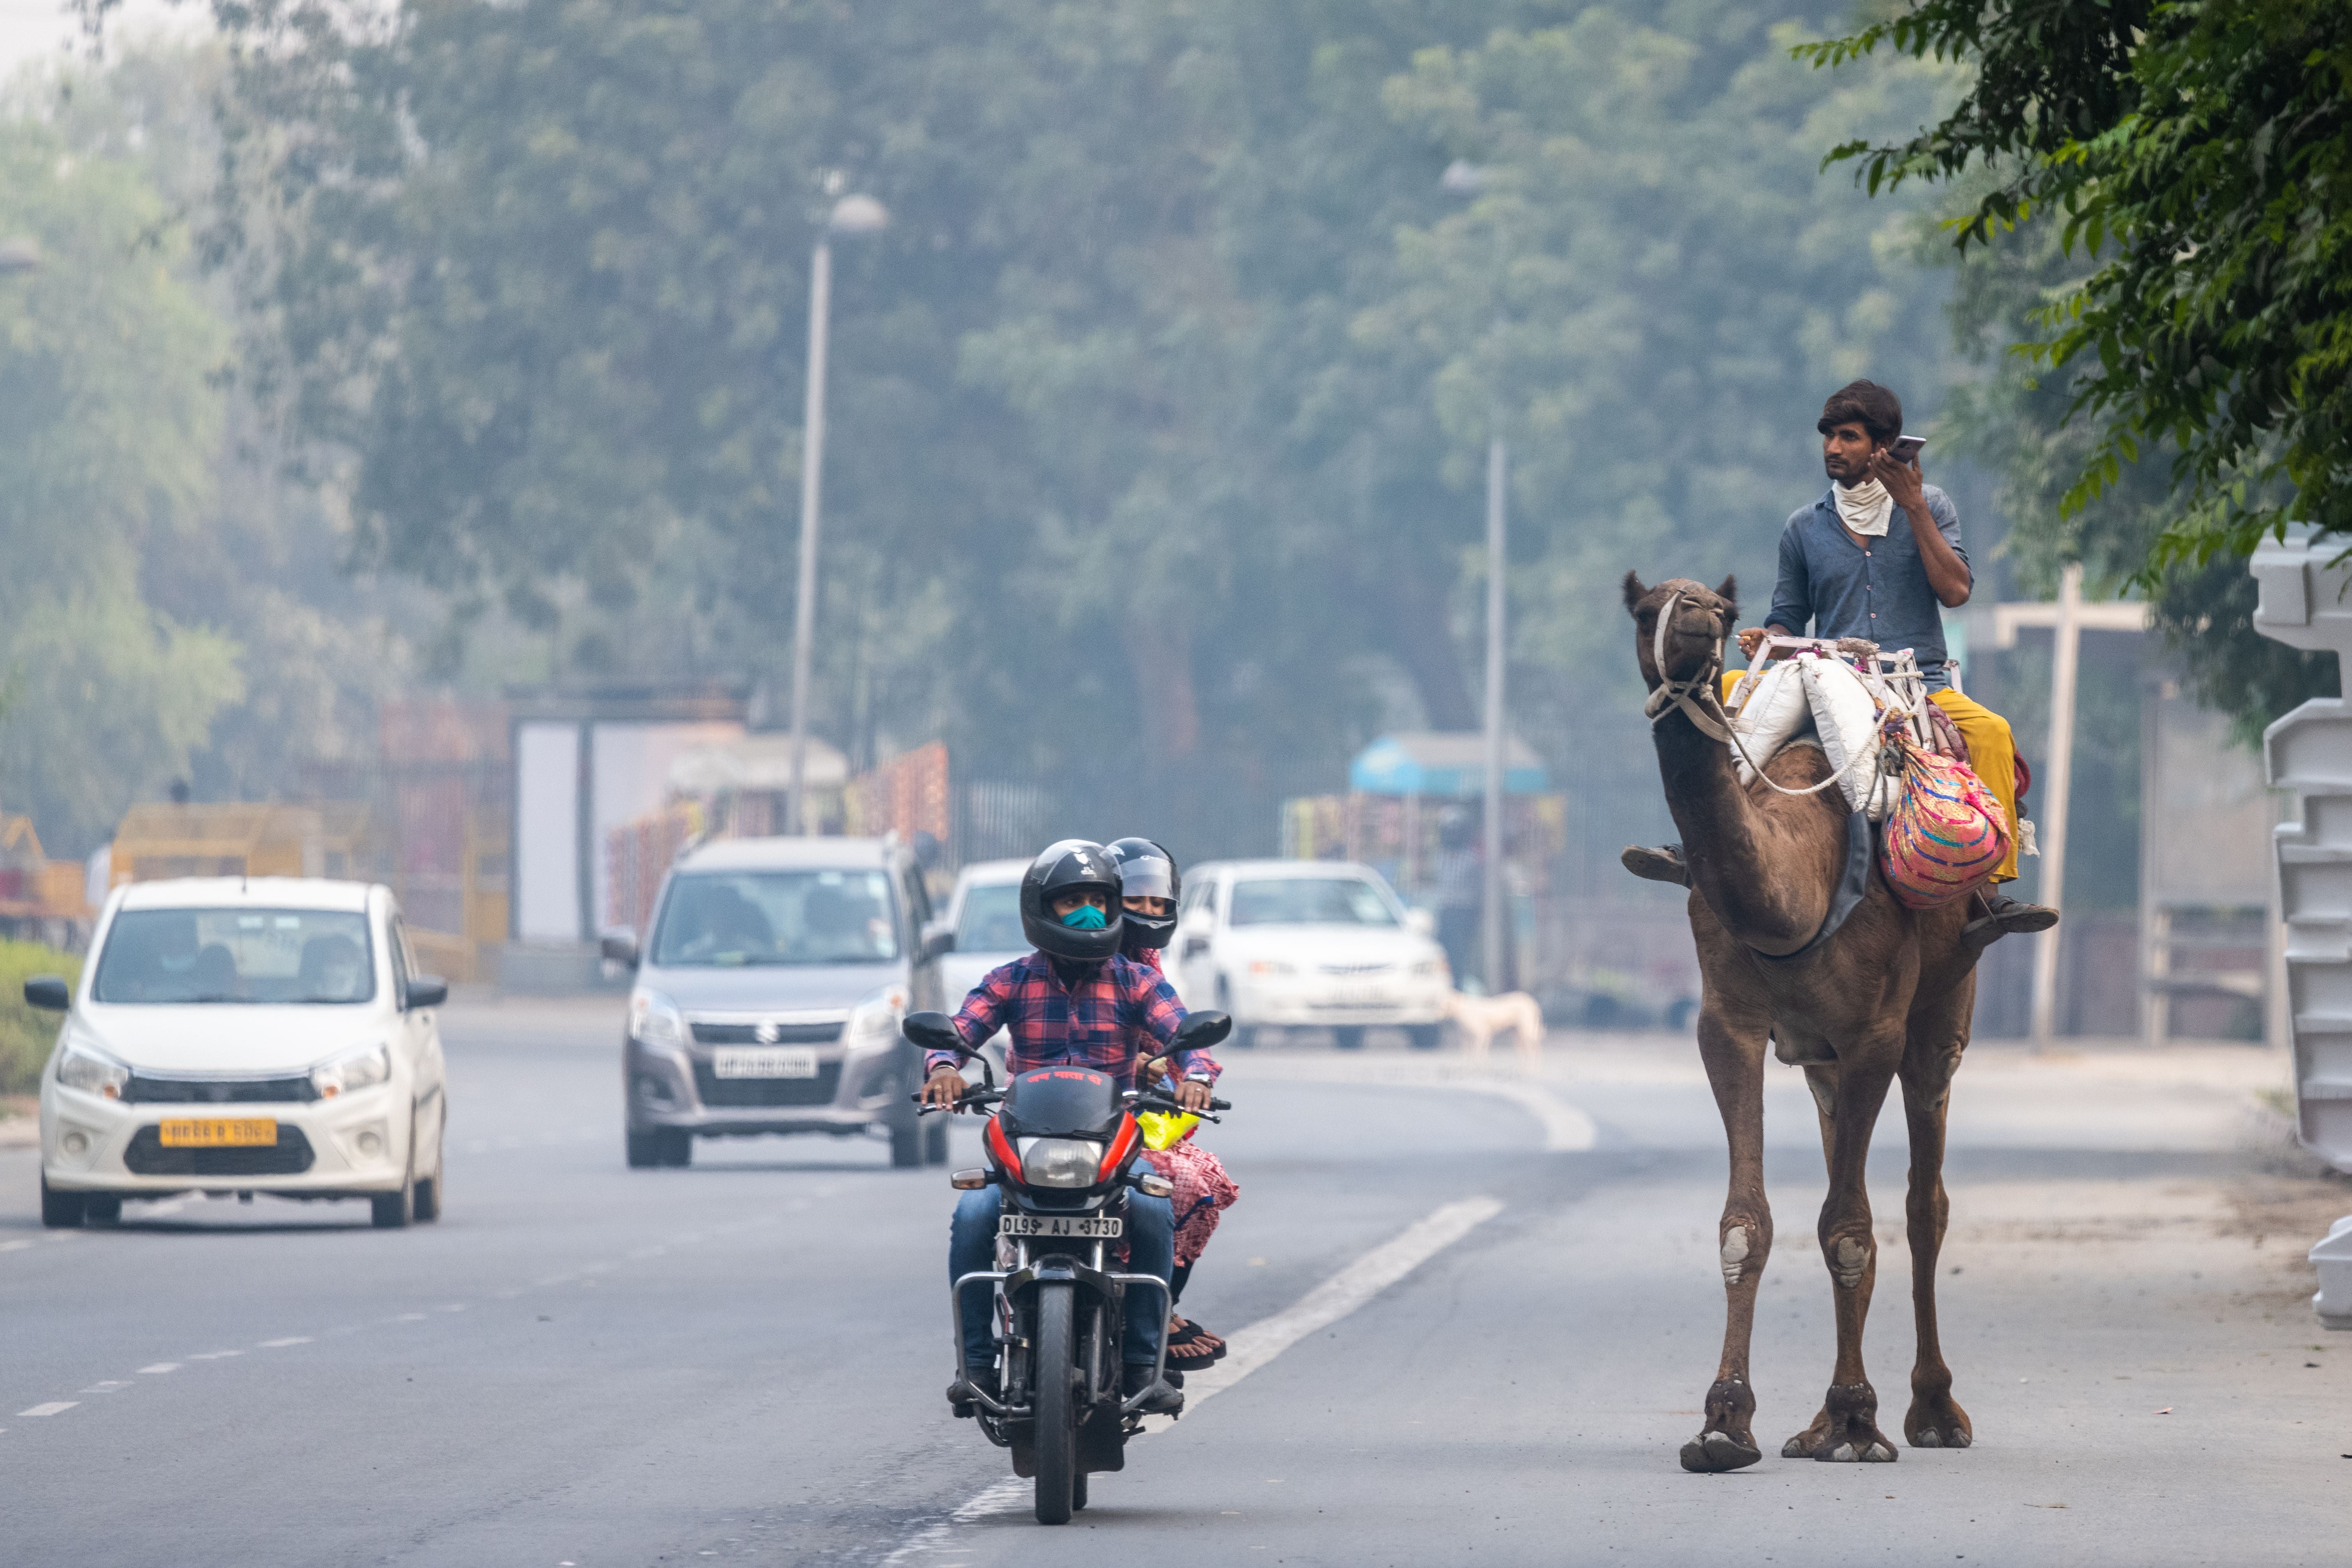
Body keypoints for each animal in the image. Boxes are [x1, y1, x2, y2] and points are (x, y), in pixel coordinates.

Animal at [1439, 992, 1552, 1067]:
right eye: (1441, 1002)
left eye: (1447, 1003)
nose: (1439, 1013)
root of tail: (1531, 1001)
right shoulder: (1467, 1038)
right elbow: (1469, 1054)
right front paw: (1471, 1066)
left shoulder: (1480, 1035)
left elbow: (1478, 1052)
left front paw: (1477, 1065)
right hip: (1517, 1033)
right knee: (1525, 1050)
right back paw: (1522, 1067)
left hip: (1527, 1031)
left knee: (1534, 1048)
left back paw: (1533, 1067)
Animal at [1637, 574, 1985, 1476]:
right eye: (1643, 605)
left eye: (1722, 613)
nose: (1694, 622)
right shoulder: (1726, 1023)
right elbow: (1747, 1222)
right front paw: (1724, 1423)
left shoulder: (1876, 1033)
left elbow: (1852, 1228)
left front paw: (1860, 1418)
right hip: (1826, 1063)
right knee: (1847, 1171)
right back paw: (1820, 1426)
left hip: (1943, 1011)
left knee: (1922, 1203)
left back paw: (1931, 1410)